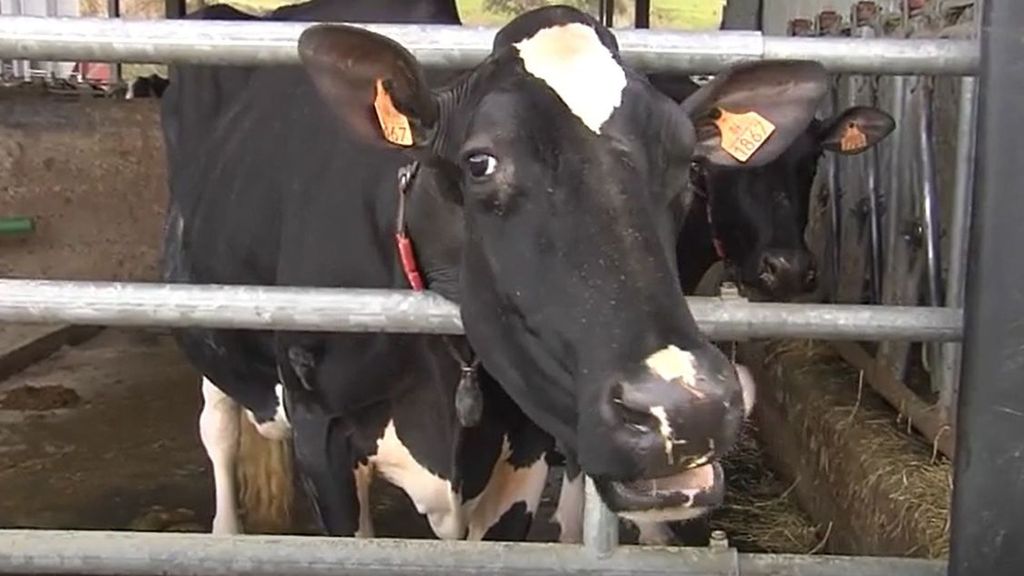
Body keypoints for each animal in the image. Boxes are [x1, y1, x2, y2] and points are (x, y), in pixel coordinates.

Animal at [161, 0, 833, 541]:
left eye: (688, 164)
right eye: (480, 161)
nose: (688, 410)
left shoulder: (524, 450)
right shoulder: (318, 428)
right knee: (217, 430)